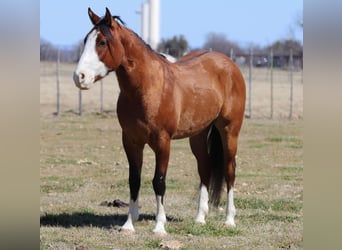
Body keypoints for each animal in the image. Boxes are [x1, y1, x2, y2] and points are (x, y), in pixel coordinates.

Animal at [74, 7, 246, 234]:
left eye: (102, 42)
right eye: (86, 40)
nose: (79, 77)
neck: (148, 88)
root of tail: (228, 64)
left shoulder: (163, 142)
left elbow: (159, 181)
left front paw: (159, 226)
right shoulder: (131, 141)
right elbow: (134, 180)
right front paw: (128, 224)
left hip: (229, 131)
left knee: (229, 171)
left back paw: (229, 220)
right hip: (198, 135)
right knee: (205, 168)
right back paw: (200, 218)